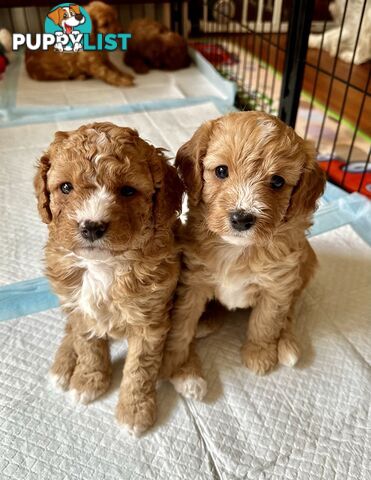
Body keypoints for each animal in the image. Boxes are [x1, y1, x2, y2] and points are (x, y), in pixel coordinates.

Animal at [35, 121, 184, 436]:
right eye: (65, 187)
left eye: (128, 190)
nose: (91, 226)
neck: (103, 264)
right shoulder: (80, 306)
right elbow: (87, 345)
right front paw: (88, 380)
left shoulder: (150, 320)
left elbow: (140, 367)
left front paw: (135, 410)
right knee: (69, 329)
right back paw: (63, 365)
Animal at [161, 111, 326, 398]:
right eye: (221, 171)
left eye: (277, 181)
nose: (241, 218)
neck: (237, 249)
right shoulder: (193, 281)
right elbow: (181, 324)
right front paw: (175, 361)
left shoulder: (277, 285)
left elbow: (267, 321)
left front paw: (259, 354)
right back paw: (207, 321)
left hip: (305, 267)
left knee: (289, 311)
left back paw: (287, 346)